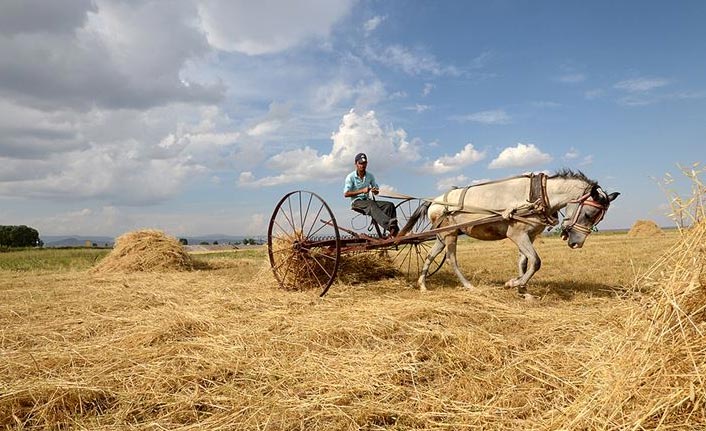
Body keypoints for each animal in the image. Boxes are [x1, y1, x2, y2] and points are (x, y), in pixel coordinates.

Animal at [416, 170, 620, 298]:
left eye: (598, 218)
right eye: (589, 214)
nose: (577, 243)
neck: (538, 195)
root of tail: (434, 201)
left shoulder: (529, 236)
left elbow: (524, 262)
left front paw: (523, 290)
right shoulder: (517, 234)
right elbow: (536, 261)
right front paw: (513, 284)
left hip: (442, 236)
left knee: (430, 255)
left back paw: (423, 285)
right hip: (450, 234)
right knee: (451, 258)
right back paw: (468, 285)